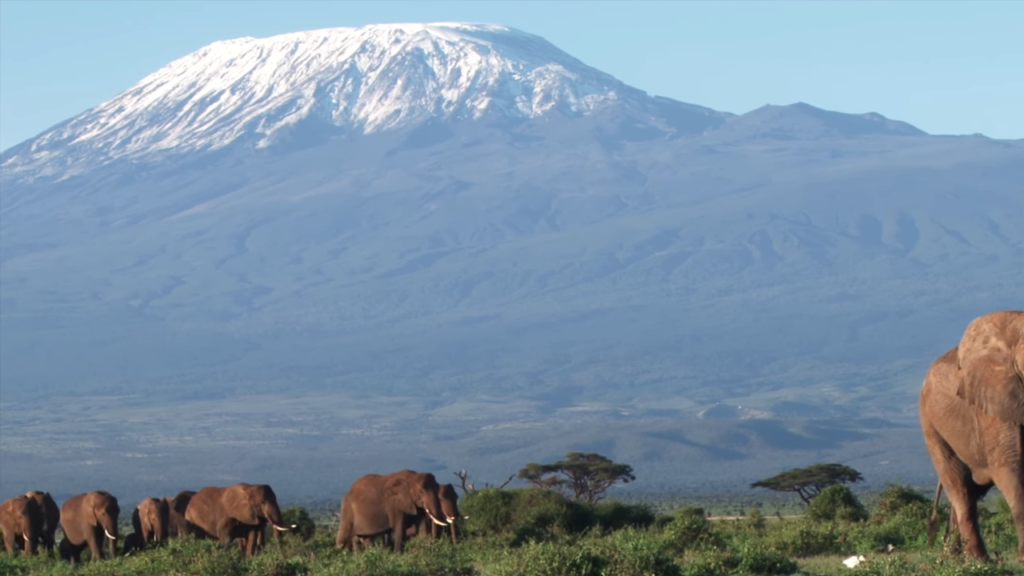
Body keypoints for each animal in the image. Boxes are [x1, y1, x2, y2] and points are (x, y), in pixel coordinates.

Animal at [921, 309, 1024, 561]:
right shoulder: (995, 402)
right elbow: (1010, 466)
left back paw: (955, 556)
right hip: (930, 422)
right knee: (960, 488)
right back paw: (977, 560)